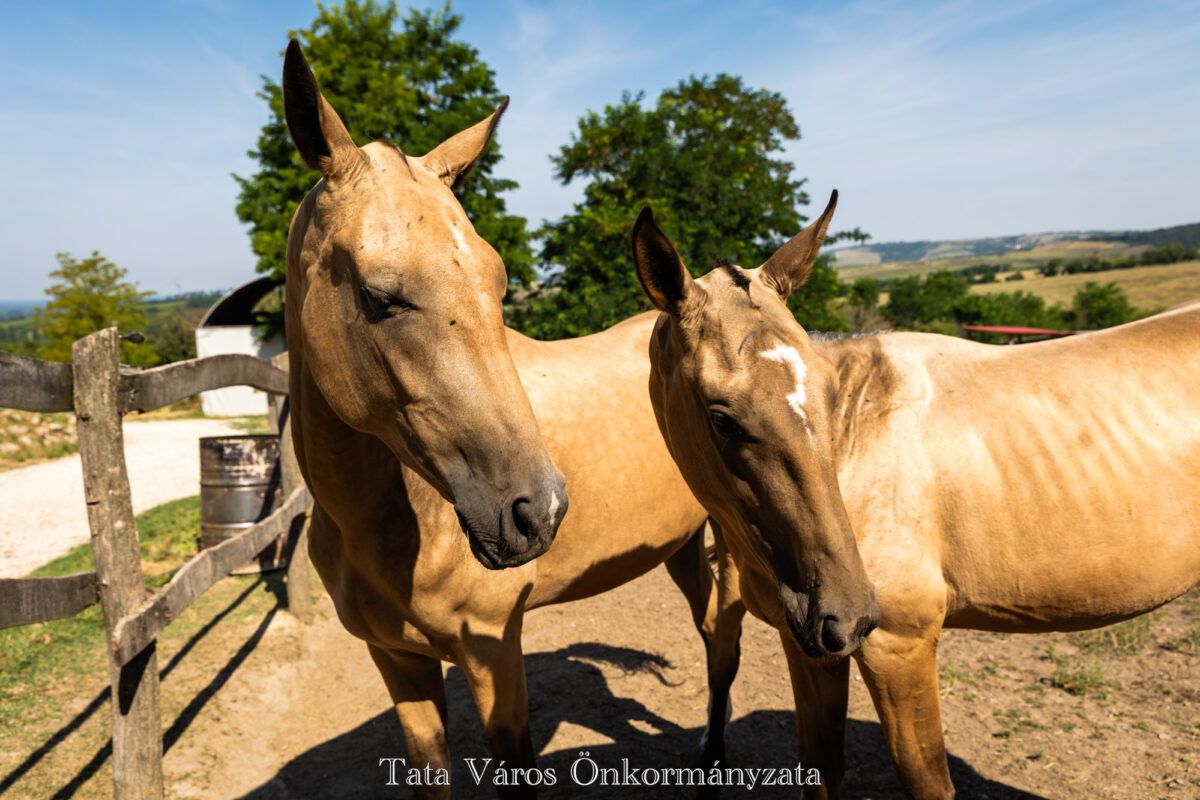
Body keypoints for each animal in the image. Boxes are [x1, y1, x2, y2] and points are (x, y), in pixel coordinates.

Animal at [279, 40, 739, 796]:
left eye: (498, 284)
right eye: (380, 295)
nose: (536, 511)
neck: (389, 523)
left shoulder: (495, 655)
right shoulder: (399, 665)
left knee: (725, 642)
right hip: (679, 546)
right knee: (709, 634)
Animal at [628, 190, 1200, 796]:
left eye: (830, 392)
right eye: (721, 418)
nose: (848, 611)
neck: (857, 456)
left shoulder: (898, 646)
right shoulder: (810, 649)